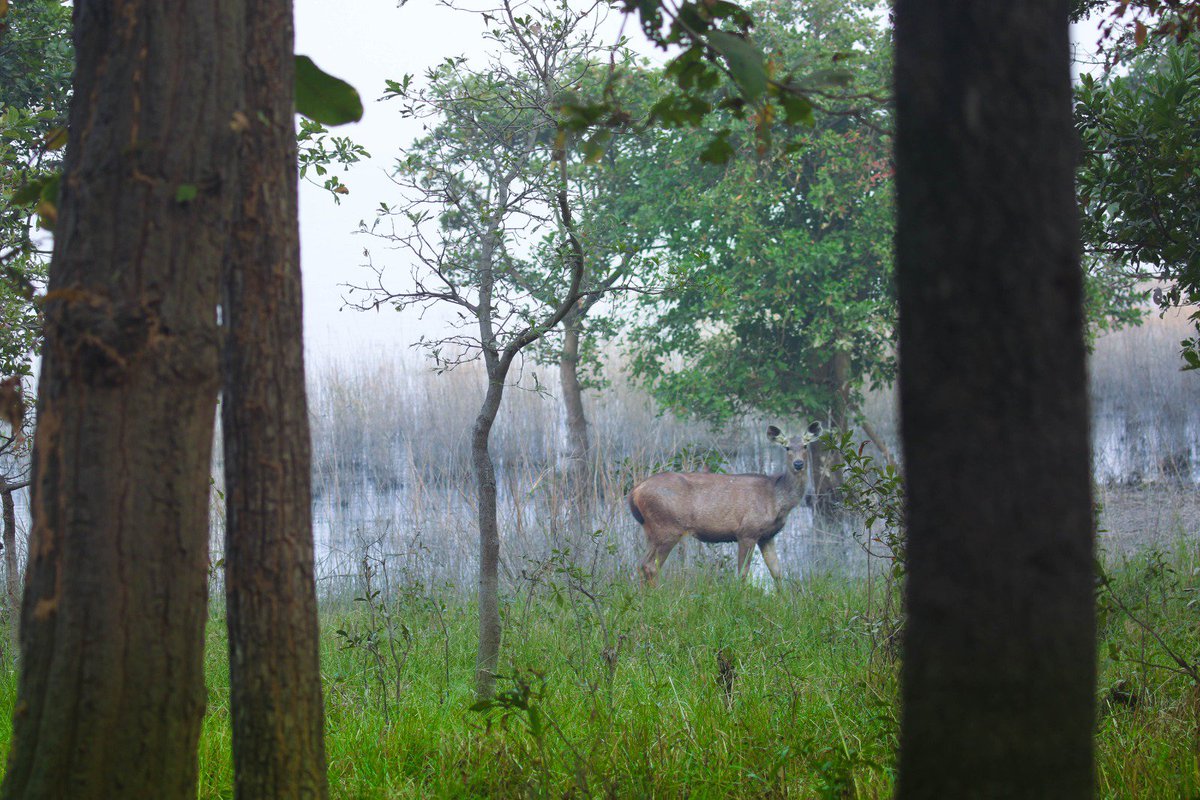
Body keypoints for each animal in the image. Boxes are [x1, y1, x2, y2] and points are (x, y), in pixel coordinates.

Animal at [629, 424, 821, 586]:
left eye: (805, 446)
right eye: (787, 447)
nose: (798, 464)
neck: (776, 498)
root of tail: (634, 492)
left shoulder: (767, 536)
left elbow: (777, 573)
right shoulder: (747, 531)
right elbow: (742, 574)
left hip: (652, 530)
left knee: (641, 564)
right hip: (668, 527)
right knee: (651, 566)